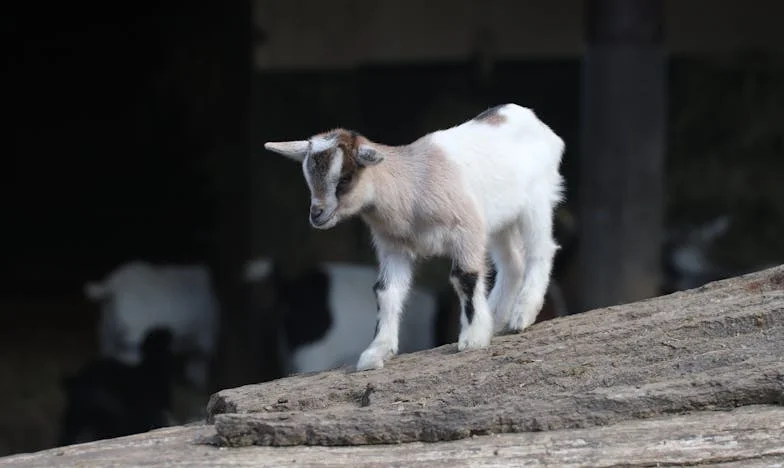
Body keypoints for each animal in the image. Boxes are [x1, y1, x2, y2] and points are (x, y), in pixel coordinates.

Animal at [266, 104, 568, 372]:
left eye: (344, 179)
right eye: (309, 179)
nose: (317, 215)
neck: (410, 186)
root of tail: (528, 117)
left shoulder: (466, 230)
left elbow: (464, 277)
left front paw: (472, 338)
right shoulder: (393, 248)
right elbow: (386, 292)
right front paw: (376, 352)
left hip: (536, 200)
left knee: (540, 250)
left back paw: (522, 313)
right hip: (500, 220)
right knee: (512, 262)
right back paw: (496, 318)